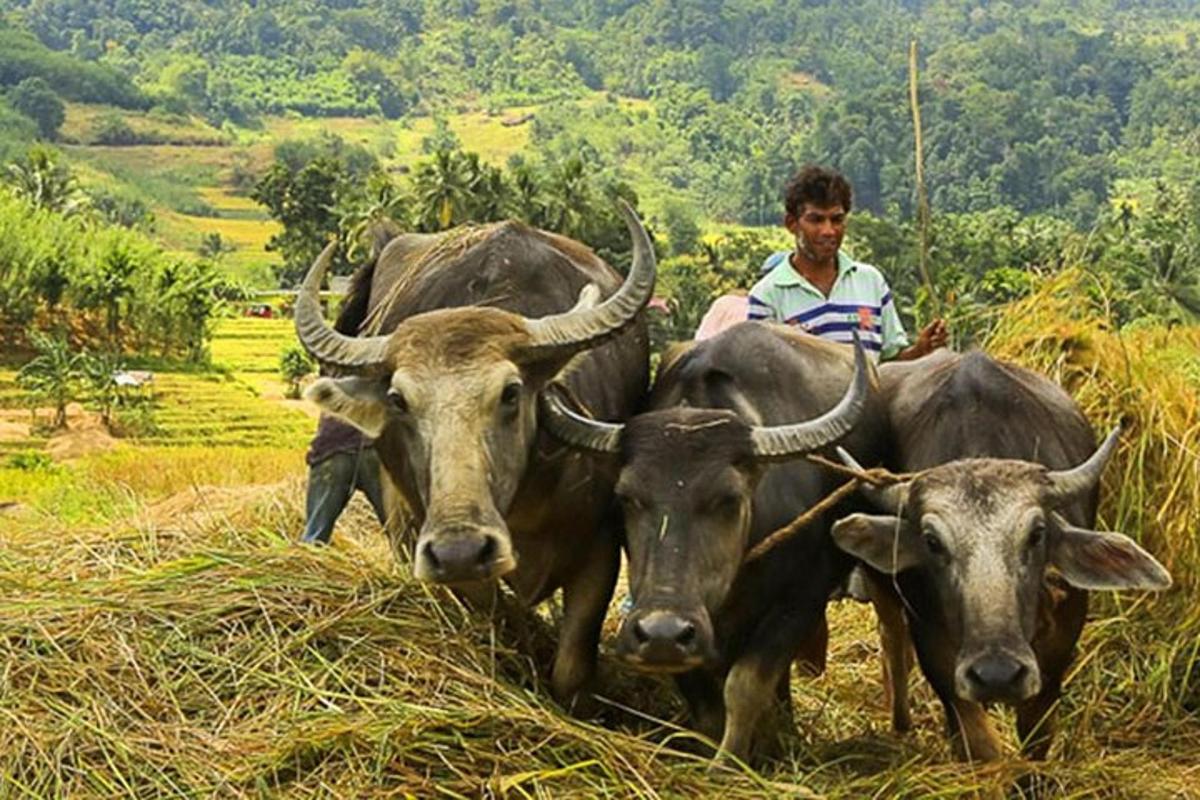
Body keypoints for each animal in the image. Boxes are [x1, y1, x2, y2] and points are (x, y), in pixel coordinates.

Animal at [292, 201, 657, 705]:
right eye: (398, 400)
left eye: (511, 392)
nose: (460, 548)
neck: (523, 504)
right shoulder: (454, 567)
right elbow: (506, 628)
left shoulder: (600, 547)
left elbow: (571, 668)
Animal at [544, 321, 883, 762]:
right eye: (627, 497)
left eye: (728, 498)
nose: (662, 632)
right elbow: (706, 705)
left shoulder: (800, 600)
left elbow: (746, 685)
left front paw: (732, 761)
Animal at [835, 352, 1171, 762]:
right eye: (932, 542)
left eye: (1037, 534)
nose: (997, 674)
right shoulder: (936, 647)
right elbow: (978, 742)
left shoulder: (1060, 644)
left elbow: (1036, 733)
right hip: (881, 585)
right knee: (893, 639)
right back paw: (901, 723)